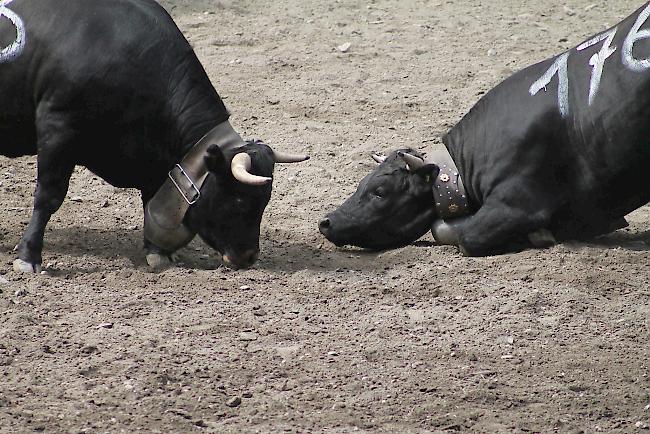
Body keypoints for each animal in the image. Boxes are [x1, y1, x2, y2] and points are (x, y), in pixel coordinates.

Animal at [0, 0, 308, 272]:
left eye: (265, 199)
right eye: (240, 200)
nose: (248, 256)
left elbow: (150, 199)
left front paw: (157, 252)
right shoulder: (58, 128)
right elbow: (48, 196)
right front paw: (29, 255)